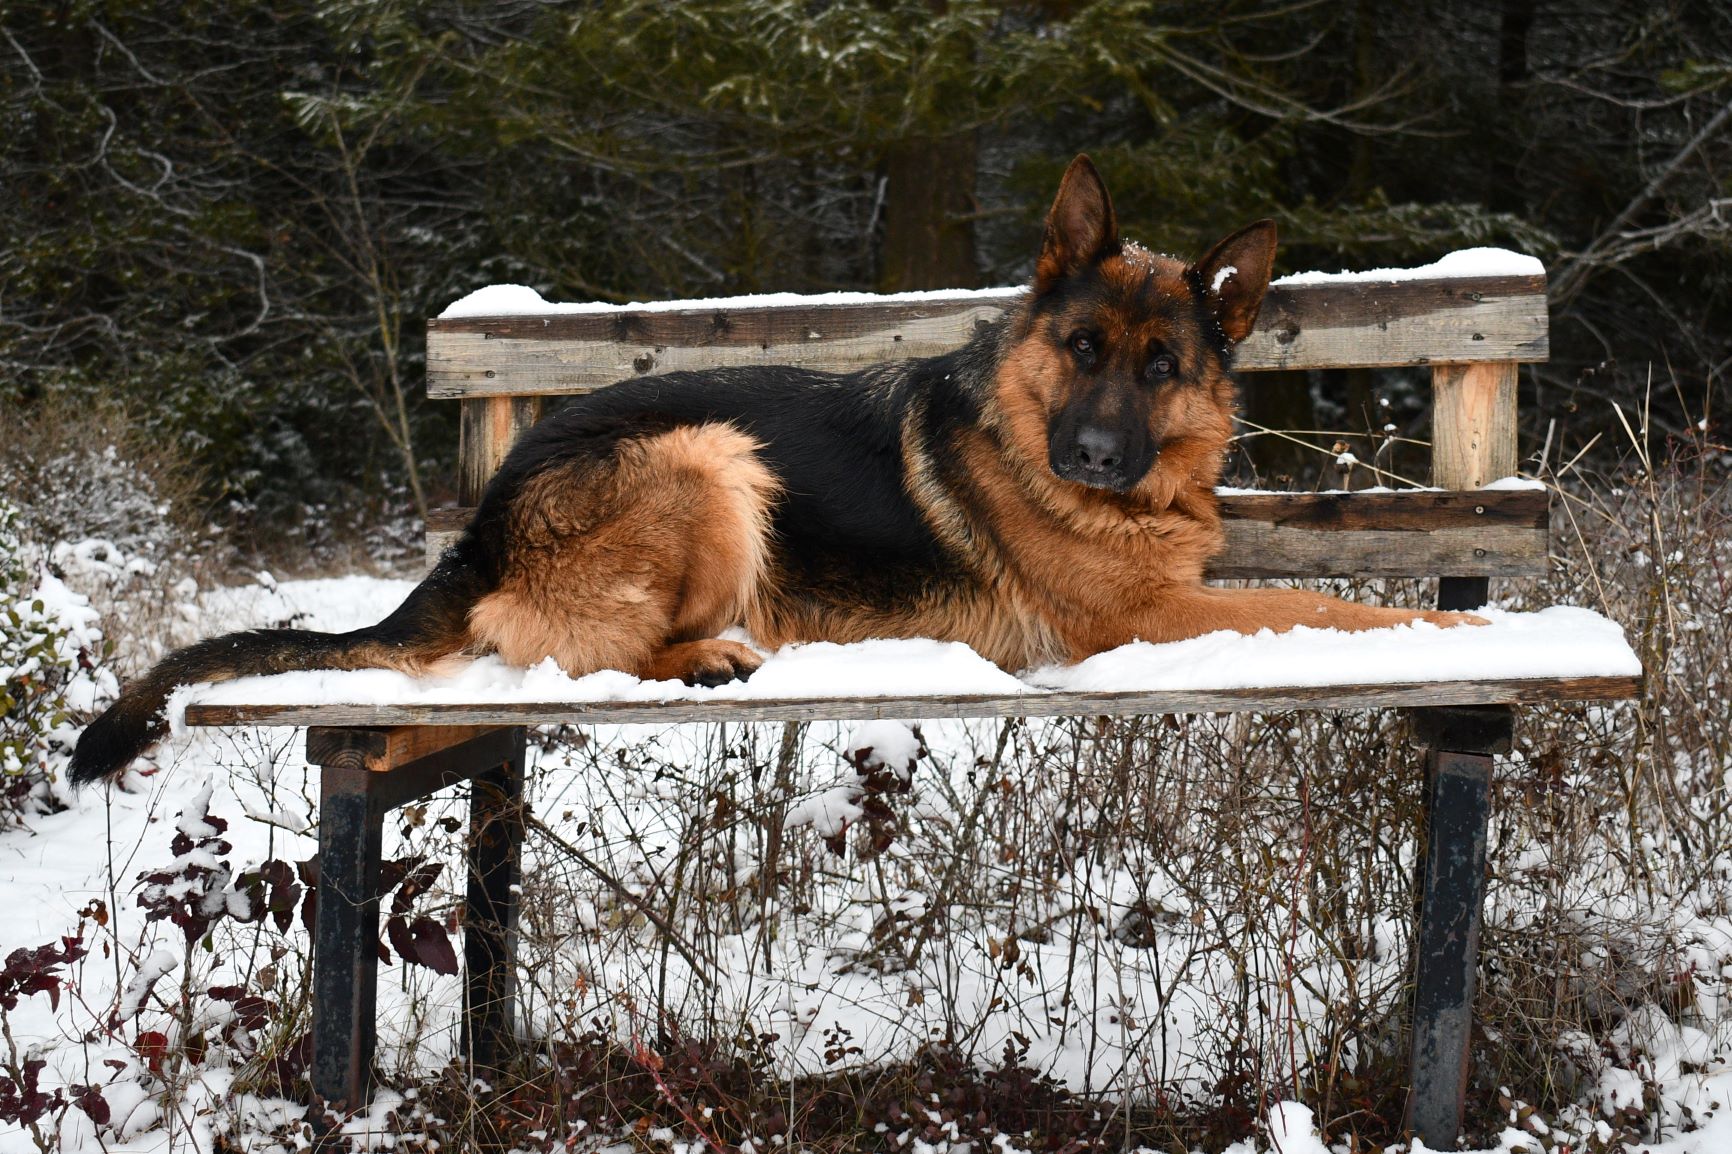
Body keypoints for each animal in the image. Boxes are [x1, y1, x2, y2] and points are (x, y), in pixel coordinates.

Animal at [64, 152, 1475, 783]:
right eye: (1080, 350)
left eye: (1161, 364)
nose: (1087, 454)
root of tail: (485, 519)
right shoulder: (1143, 616)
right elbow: (1319, 601)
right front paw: (1453, 626)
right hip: (709, 458)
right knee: (593, 655)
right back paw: (708, 655)